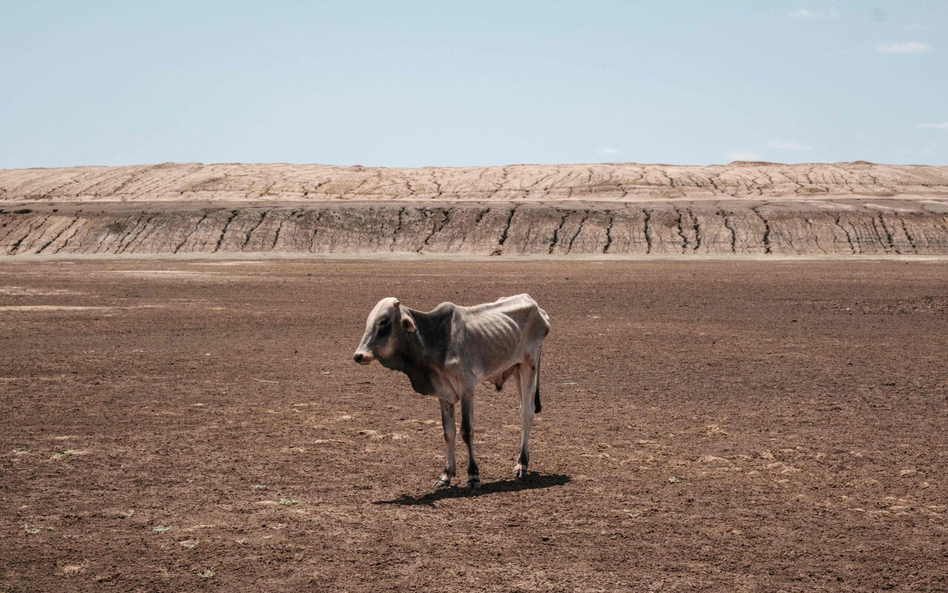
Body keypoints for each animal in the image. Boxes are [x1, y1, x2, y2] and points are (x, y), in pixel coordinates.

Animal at [354, 292, 548, 490]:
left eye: (383, 321)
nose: (359, 355)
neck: (436, 339)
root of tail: (534, 304)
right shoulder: (443, 394)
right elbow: (448, 432)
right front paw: (446, 475)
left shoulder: (467, 389)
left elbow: (466, 431)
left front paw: (473, 475)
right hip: (517, 368)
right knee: (524, 408)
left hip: (529, 366)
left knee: (527, 412)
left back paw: (522, 463)